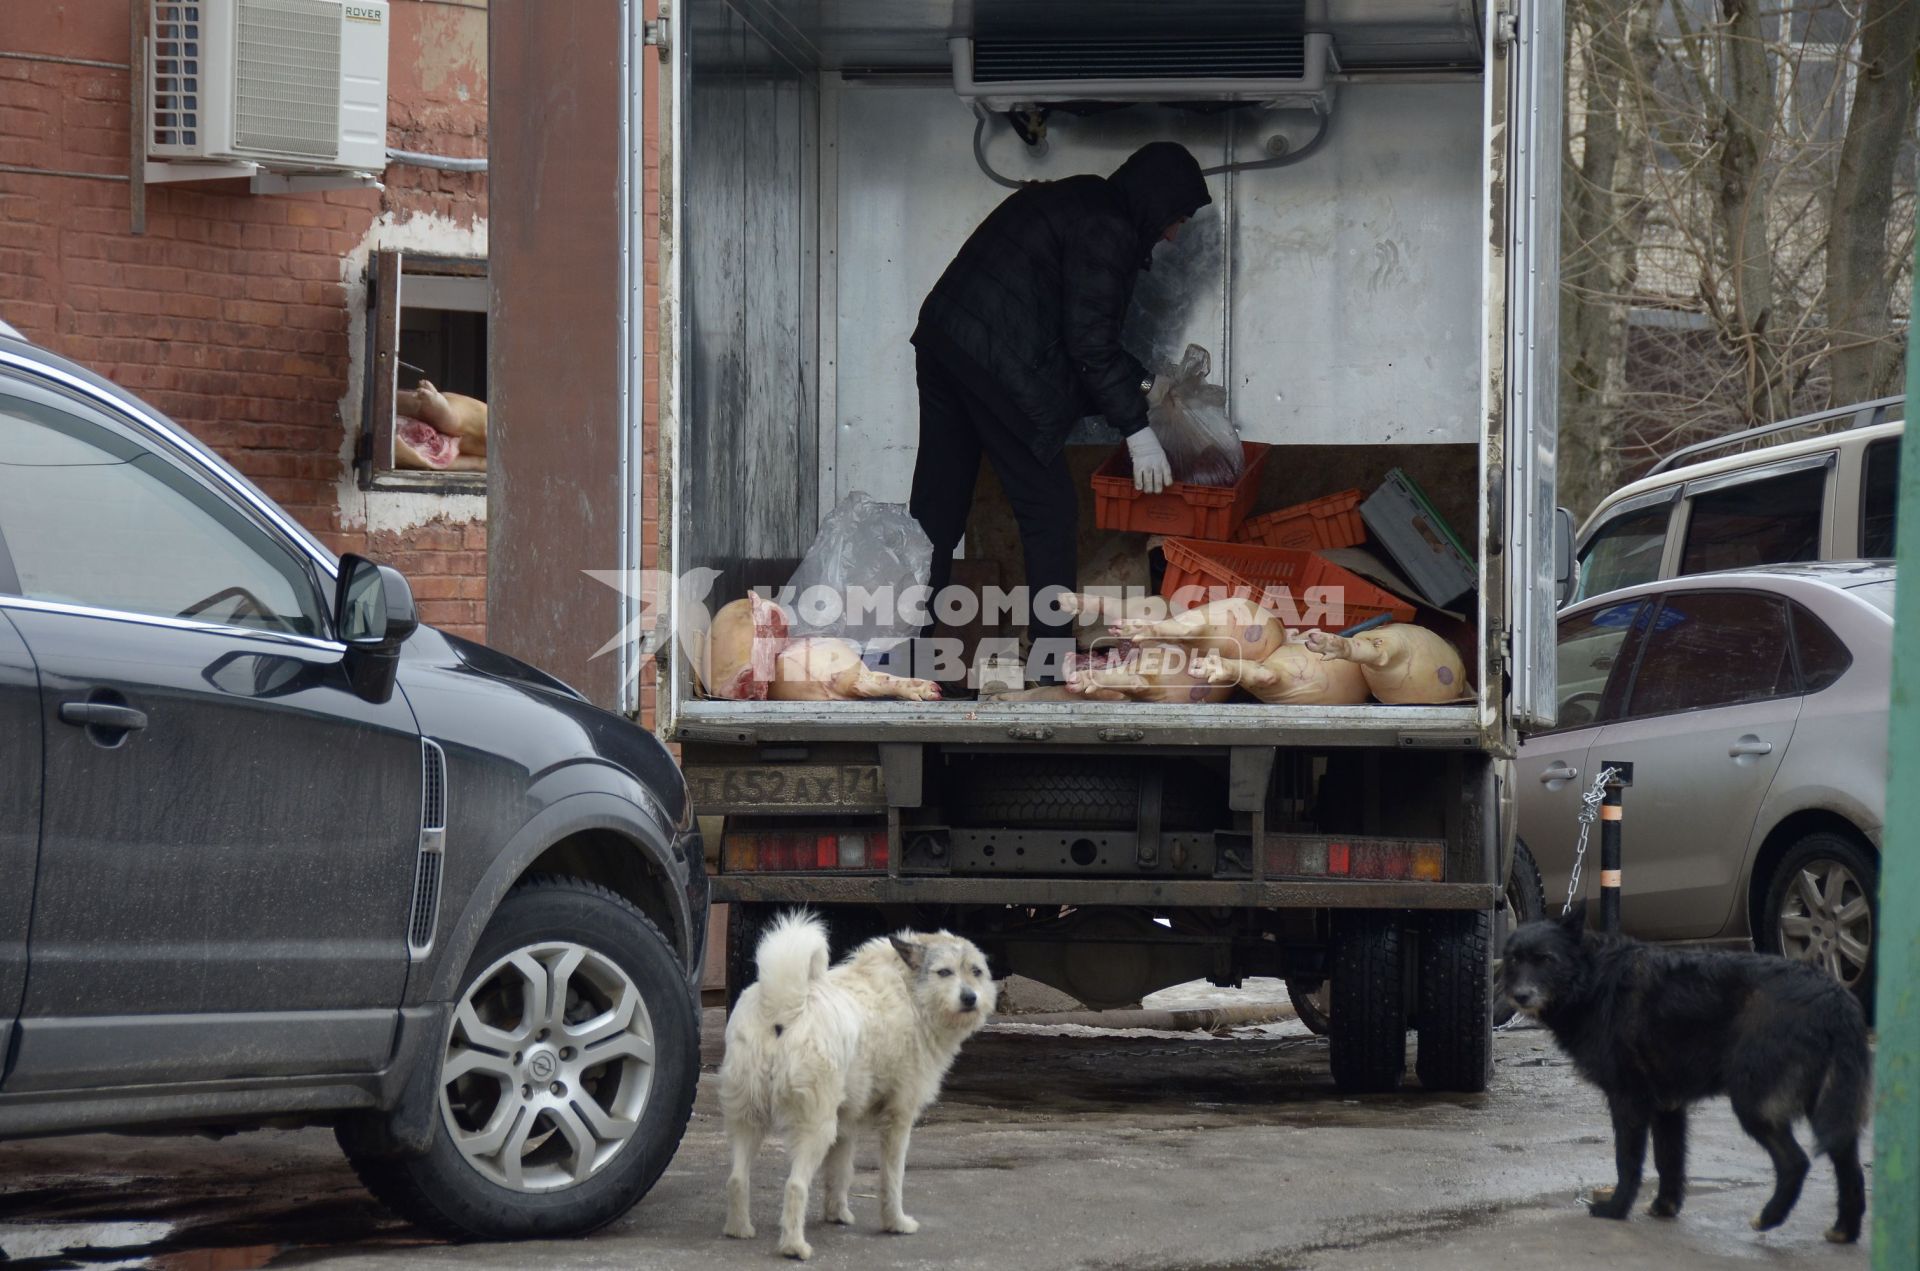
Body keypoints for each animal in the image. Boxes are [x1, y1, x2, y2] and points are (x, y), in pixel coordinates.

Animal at [718, 917, 990, 1267]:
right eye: (944, 972)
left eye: (976, 971)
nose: (970, 998)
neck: (908, 991)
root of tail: (786, 1004)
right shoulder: (898, 1120)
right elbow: (892, 1178)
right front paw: (895, 1223)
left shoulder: (846, 1124)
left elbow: (840, 1172)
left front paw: (837, 1214)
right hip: (815, 1128)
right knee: (795, 1186)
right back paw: (794, 1247)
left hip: (747, 1118)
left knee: (737, 1178)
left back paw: (739, 1229)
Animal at [1505, 906, 1866, 1244]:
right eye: (1514, 959)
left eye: (1545, 959)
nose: (1519, 995)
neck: (1593, 978)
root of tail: (1833, 995)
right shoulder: (1668, 1107)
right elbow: (1669, 1159)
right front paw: (1665, 1206)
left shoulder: (1628, 1101)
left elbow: (1628, 1161)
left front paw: (1617, 1208)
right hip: (1828, 1110)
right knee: (1850, 1166)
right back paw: (1844, 1231)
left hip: (1754, 1106)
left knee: (1795, 1163)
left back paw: (1770, 1217)